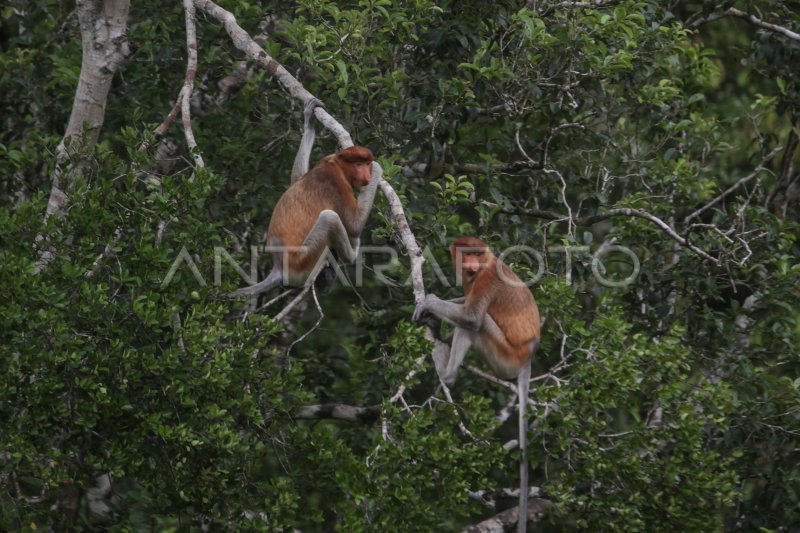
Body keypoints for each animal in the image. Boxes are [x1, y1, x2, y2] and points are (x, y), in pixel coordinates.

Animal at [416, 237, 540, 532]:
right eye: (466, 254)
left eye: (476, 254)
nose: (471, 264)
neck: (485, 264)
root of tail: (528, 356)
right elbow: (464, 302)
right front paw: (430, 310)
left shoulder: (486, 279)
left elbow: (471, 316)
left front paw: (429, 301)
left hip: (504, 357)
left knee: (476, 324)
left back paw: (446, 371)